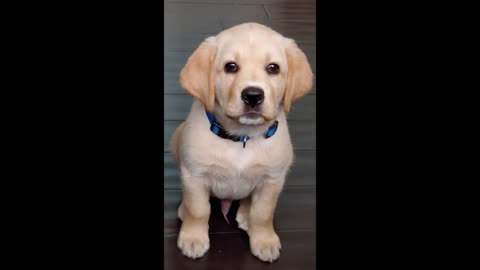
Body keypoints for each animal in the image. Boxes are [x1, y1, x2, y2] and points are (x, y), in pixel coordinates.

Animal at [171, 22, 314, 262]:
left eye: (273, 68)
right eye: (231, 67)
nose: (253, 95)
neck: (242, 137)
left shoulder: (272, 180)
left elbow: (263, 214)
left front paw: (264, 240)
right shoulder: (194, 175)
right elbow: (199, 210)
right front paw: (193, 238)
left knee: (249, 200)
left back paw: (246, 213)